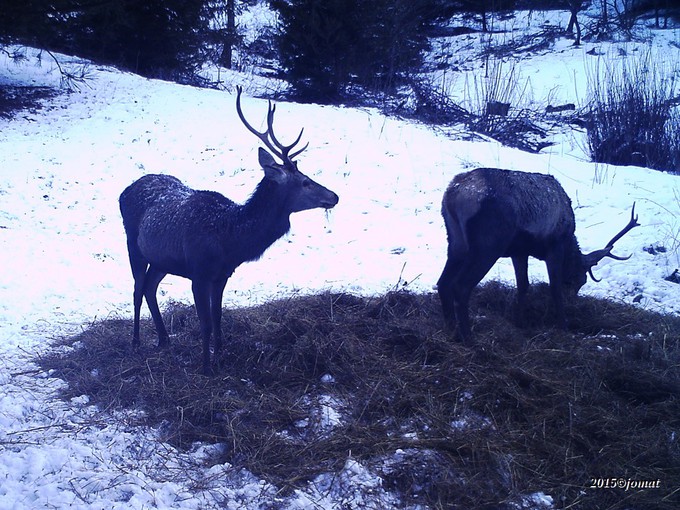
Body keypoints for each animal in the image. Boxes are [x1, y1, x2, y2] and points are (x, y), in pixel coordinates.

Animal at [119, 86, 340, 374]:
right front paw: (205, 367)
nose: (334, 196)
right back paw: (135, 341)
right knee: (137, 290)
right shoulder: (199, 272)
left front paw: (221, 355)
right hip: (132, 243)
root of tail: (124, 191)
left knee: (149, 287)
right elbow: (205, 322)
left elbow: (218, 318)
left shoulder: (222, 274)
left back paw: (164, 339)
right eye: (305, 182)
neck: (231, 241)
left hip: (162, 258)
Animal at [438, 168, 640, 342]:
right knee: (460, 286)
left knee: (443, 282)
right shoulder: (554, 247)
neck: (568, 238)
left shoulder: (519, 251)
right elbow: (555, 288)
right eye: (579, 280)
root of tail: (453, 192)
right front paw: (563, 325)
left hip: (456, 241)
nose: (574, 304)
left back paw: (451, 330)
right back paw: (468, 339)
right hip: (488, 244)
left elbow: (523, 285)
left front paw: (520, 321)